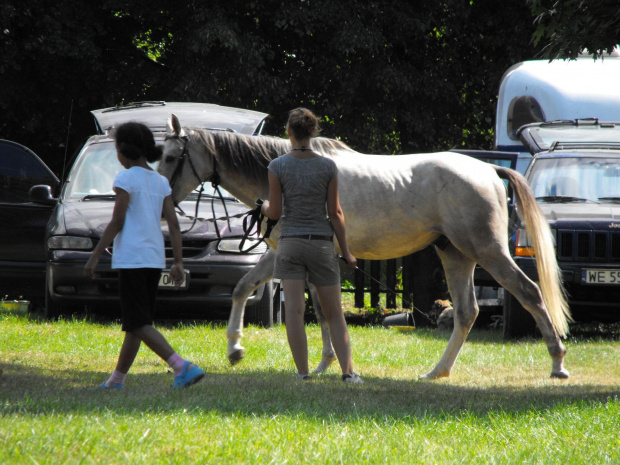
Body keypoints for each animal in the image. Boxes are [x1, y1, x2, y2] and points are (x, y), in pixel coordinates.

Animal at [160, 114, 572, 378]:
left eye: (170, 156)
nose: (162, 199)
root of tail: (488, 170)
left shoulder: (301, 256)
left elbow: (315, 309)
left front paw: (320, 363)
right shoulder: (289, 256)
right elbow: (248, 290)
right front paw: (237, 349)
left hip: (487, 251)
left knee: (529, 293)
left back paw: (557, 363)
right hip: (455, 254)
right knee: (466, 311)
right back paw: (437, 371)